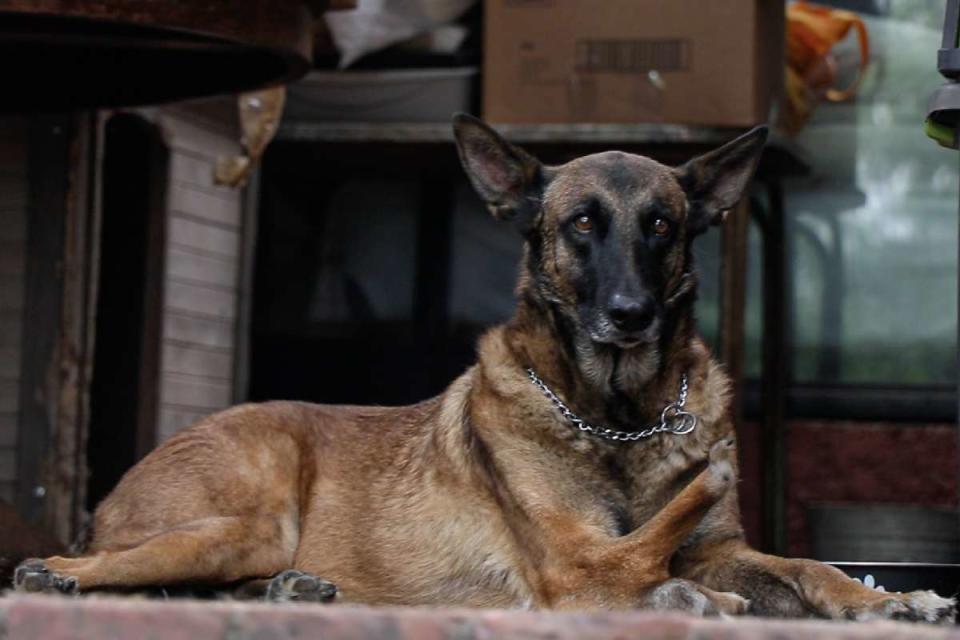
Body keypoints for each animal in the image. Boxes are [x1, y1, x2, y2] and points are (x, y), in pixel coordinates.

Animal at [11, 114, 956, 620]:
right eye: (582, 224)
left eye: (662, 225)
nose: (630, 315)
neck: (617, 415)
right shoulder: (574, 563)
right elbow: (641, 557)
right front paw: (690, 583)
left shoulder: (720, 551)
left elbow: (800, 567)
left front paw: (883, 601)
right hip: (249, 515)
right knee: (104, 571)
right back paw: (53, 573)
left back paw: (290, 593)